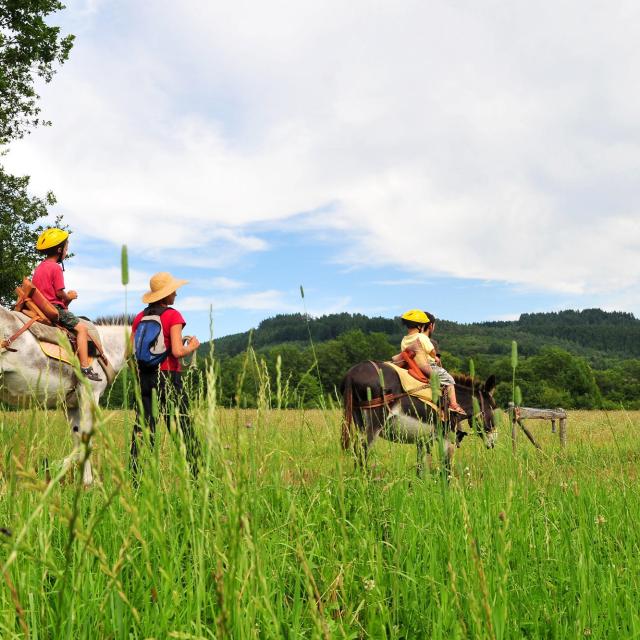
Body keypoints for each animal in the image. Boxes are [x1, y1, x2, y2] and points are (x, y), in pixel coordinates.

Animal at [0, 308, 130, 488]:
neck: (107, 349)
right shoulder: (90, 395)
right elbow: (86, 437)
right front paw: (87, 482)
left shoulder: (71, 405)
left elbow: (78, 437)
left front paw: (64, 470)